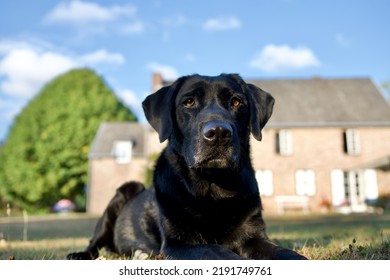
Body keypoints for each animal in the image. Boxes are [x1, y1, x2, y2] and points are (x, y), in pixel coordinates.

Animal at [68, 73, 308, 260]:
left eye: (236, 102)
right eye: (189, 102)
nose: (218, 133)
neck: (213, 188)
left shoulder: (253, 234)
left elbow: (287, 253)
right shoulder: (179, 242)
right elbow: (217, 251)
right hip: (124, 192)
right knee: (94, 242)